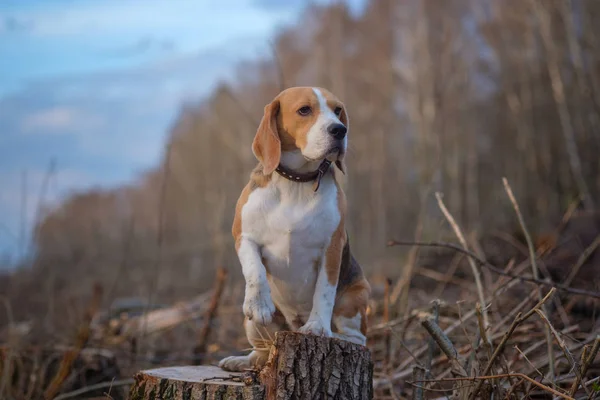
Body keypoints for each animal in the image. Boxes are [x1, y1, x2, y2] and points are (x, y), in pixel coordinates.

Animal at [220, 86, 370, 370]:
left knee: (356, 337)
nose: (339, 130)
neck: (297, 182)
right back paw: (241, 361)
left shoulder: (332, 248)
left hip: (357, 297)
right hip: (253, 326)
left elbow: (324, 291)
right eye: (304, 110)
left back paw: (341, 337)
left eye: (337, 110)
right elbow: (254, 270)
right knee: (262, 352)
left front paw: (318, 327)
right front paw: (259, 303)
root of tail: (292, 325)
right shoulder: (243, 236)